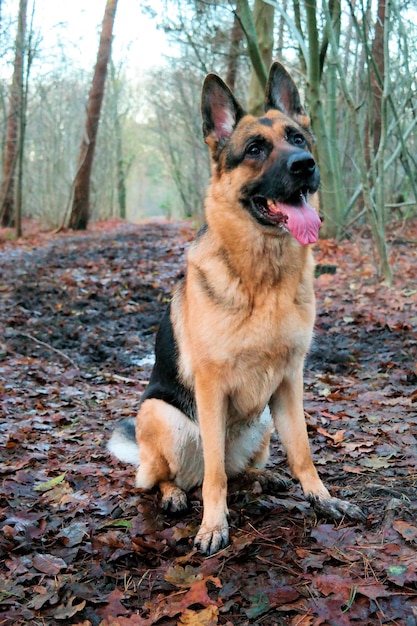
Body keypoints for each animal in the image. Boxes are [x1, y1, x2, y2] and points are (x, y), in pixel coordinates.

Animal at [108, 62, 364, 552]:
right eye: (254, 149)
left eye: (297, 138)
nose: (305, 165)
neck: (264, 278)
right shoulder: (211, 389)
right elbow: (213, 477)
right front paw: (213, 525)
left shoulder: (289, 382)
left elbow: (303, 452)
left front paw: (322, 499)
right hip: (163, 416)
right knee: (170, 477)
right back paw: (174, 495)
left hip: (263, 419)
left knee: (238, 469)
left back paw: (265, 479)